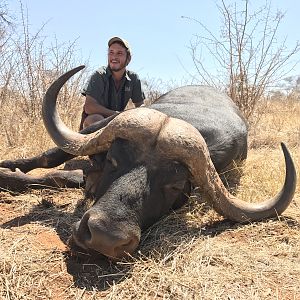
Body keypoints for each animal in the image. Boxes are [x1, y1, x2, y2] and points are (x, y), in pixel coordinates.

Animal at [0, 66, 296, 260]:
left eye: (174, 186)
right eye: (114, 160)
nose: (106, 237)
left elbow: (66, 177)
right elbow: (51, 158)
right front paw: (10, 168)